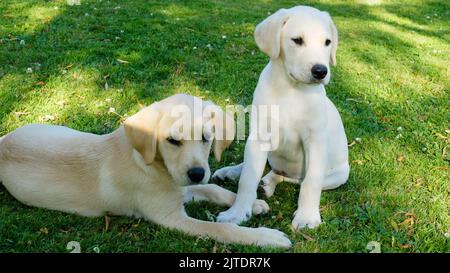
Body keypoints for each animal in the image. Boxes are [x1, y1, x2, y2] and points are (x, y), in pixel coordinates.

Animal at [0, 94, 292, 249]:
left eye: (206, 138)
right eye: (172, 141)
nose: (197, 172)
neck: (153, 165)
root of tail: (3, 142)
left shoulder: (181, 188)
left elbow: (213, 188)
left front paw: (251, 204)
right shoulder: (170, 216)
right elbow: (222, 229)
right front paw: (265, 236)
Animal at [213, 5, 350, 228]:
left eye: (327, 42)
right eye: (297, 40)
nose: (321, 71)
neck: (291, 90)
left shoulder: (315, 141)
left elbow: (311, 182)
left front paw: (307, 217)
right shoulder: (259, 137)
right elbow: (248, 177)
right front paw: (237, 212)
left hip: (338, 176)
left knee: (293, 179)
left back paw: (268, 182)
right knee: (261, 167)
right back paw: (232, 172)